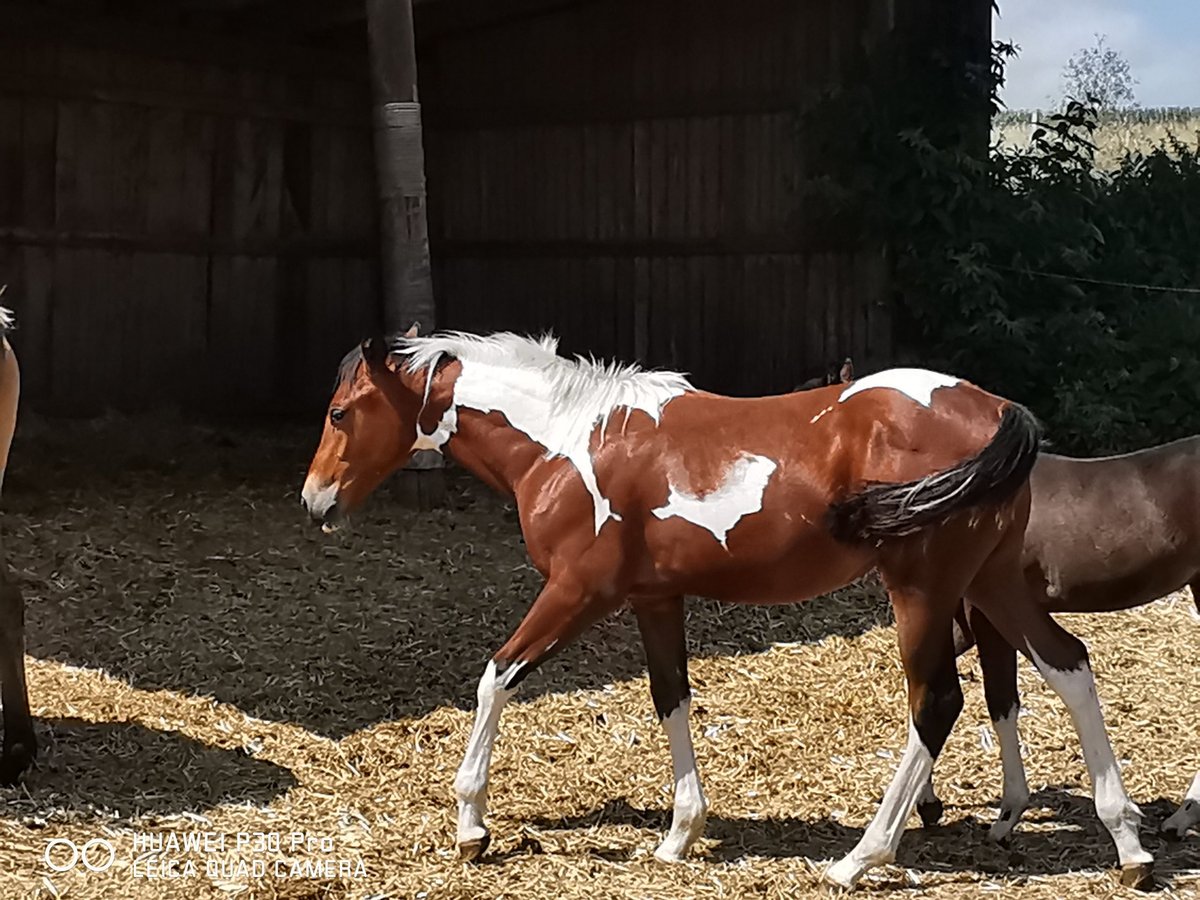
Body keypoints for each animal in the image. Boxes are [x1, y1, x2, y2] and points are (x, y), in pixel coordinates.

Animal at [300, 328, 1153, 889]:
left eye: (340, 412)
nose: (314, 502)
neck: (566, 439)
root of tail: (996, 409)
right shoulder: (653, 599)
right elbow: (670, 697)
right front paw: (680, 835)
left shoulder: (578, 593)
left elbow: (496, 678)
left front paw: (471, 826)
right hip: (992, 582)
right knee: (1069, 666)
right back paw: (1128, 845)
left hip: (923, 591)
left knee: (936, 702)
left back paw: (860, 857)